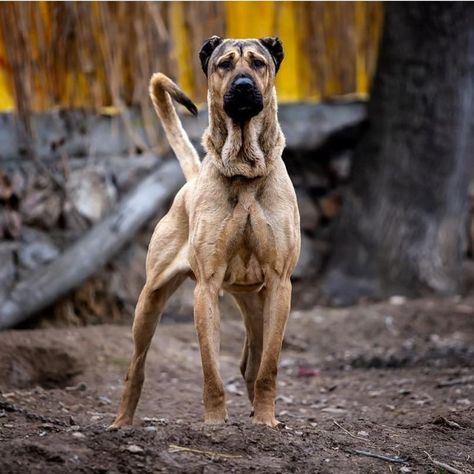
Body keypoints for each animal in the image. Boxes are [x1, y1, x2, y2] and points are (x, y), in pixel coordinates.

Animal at [109, 36, 300, 430]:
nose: (242, 86)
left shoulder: (279, 283)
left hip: (257, 301)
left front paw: (266, 421)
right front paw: (214, 422)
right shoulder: (206, 287)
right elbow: (211, 368)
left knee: (252, 362)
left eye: (258, 63)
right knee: (136, 366)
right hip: (149, 301)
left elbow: (269, 368)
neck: (243, 168)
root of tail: (192, 179)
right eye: (224, 64)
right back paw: (121, 421)